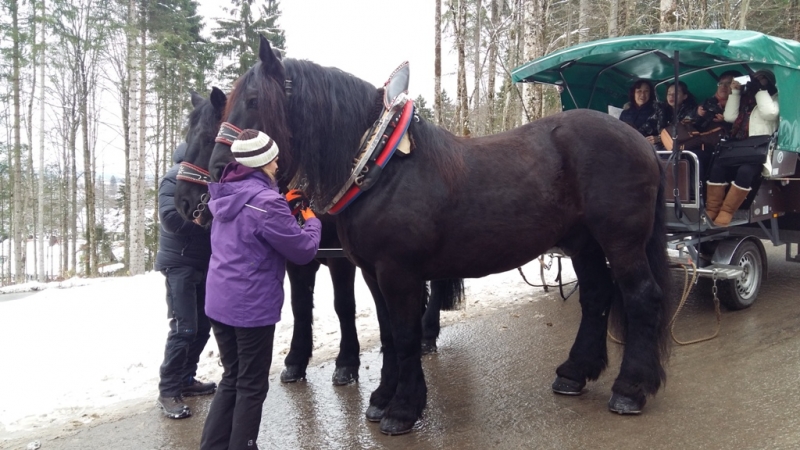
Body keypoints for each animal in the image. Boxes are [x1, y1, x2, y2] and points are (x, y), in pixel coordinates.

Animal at [175, 87, 462, 386]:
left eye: (208, 138)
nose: (183, 202)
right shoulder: (297, 259)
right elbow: (300, 306)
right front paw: (295, 361)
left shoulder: (341, 259)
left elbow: (343, 305)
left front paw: (347, 362)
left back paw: (427, 333)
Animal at [209, 37, 672, 434]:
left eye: (254, 101)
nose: (217, 169)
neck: (381, 167)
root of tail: (640, 142)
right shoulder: (373, 274)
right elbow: (389, 334)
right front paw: (381, 398)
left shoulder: (399, 274)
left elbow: (406, 334)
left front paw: (403, 409)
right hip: (583, 243)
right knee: (596, 296)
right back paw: (575, 373)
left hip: (621, 242)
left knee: (642, 297)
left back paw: (630, 389)